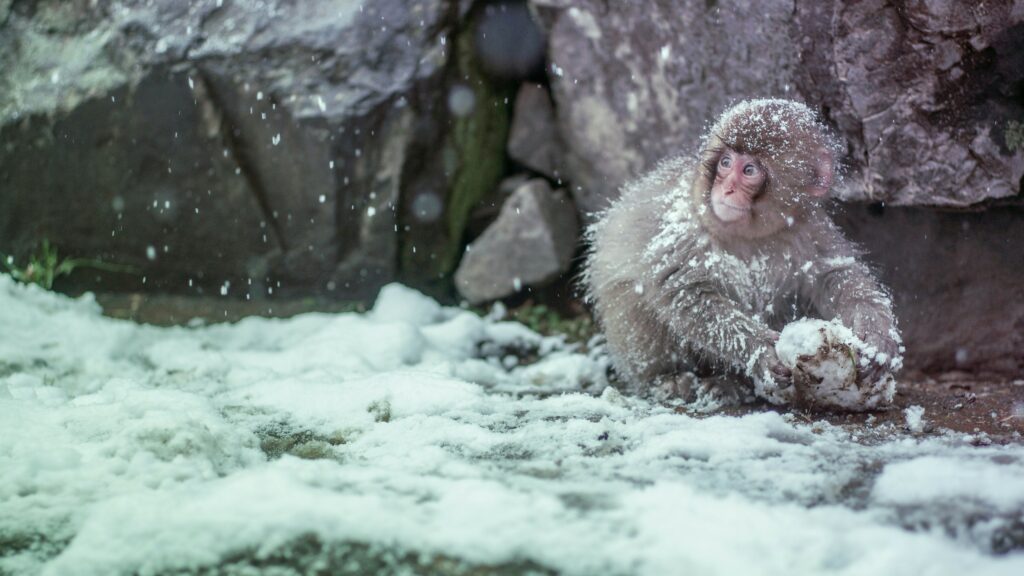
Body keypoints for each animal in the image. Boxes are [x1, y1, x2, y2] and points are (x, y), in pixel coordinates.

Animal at [583, 99, 903, 408]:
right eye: (725, 163)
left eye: (749, 170)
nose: (726, 189)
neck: (751, 237)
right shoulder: (685, 230)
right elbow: (685, 292)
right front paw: (759, 350)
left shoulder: (811, 229)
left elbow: (838, 274)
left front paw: (876, 335)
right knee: (631, 297)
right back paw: (667, 379)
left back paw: (731, 384)